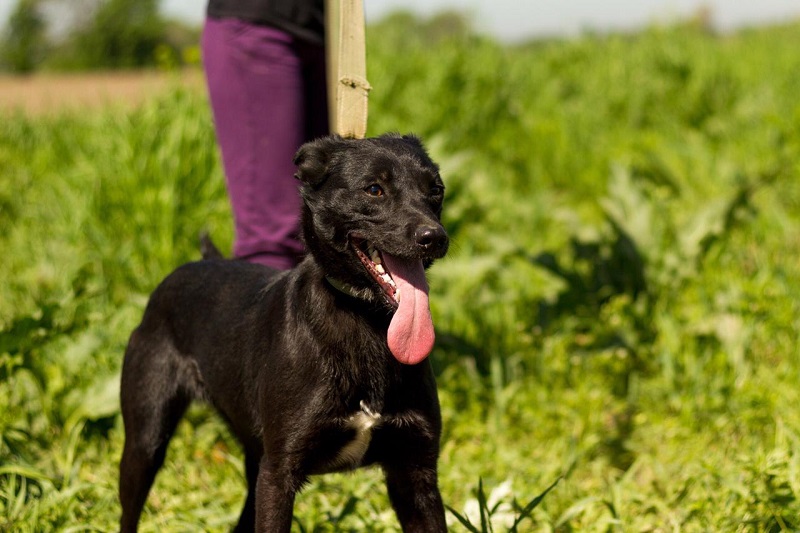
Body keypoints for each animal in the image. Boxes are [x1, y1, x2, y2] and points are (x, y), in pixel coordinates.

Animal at [117, 132, 450, 528]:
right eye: (374, 189)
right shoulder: (279, 473)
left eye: (436, 190)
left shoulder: (415, 473)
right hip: (146, 440)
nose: (434, 237)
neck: (367, 322)